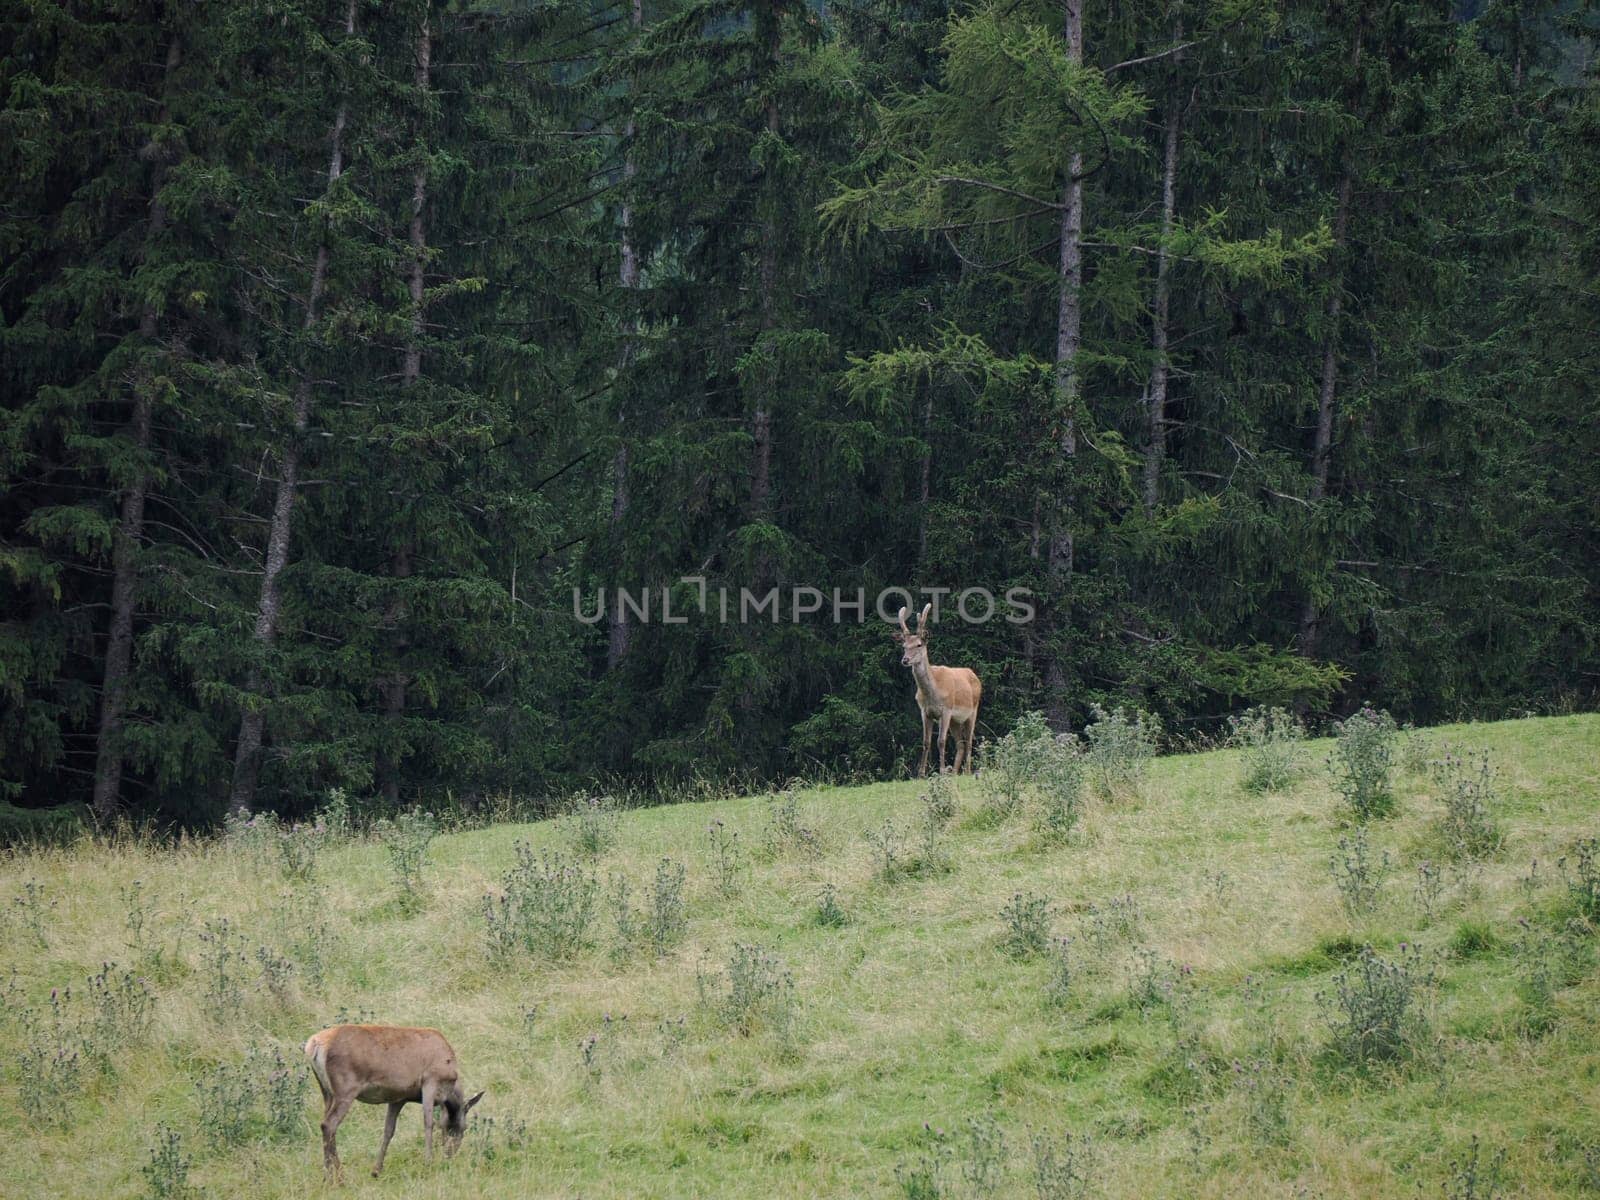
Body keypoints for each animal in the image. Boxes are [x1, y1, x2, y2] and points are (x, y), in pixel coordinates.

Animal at [304, 1024, 480, 1184]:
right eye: (465, 1127)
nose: (450, 1153)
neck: (449, 1087)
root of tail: (314, 1045)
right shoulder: (430, 1081)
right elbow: (428, 1123)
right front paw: (428, 1163)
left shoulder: (398, 1098)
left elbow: (389, 1130)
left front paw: (376, 1170)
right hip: (345, 1089)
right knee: (329, 1124)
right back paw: (339, 1178)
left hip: (326, 1091)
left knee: (325, 1123)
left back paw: (326, 1176)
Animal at [896, 601, 979, 780]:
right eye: (904, 646)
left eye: (919, 644)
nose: (905, 660)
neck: (933, 693)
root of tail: (973, 674)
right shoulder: (924, 711)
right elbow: (926, 742)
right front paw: (921, 774)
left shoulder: (946, 710)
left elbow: (940, 741)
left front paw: (941, 771)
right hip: (956, 720)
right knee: (960, 744)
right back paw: (954, 773)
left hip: (972, 711)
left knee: (969, 742)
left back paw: (967, 771)